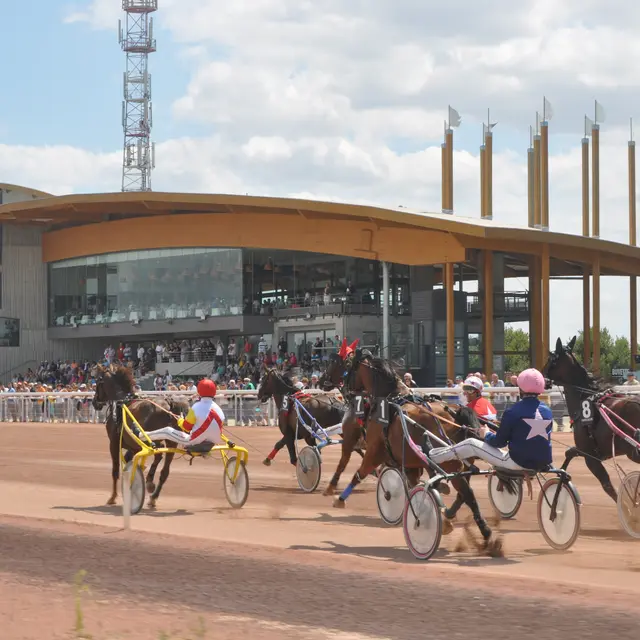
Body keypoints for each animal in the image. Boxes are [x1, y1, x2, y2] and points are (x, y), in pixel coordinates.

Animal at [91, 364, 189, 510]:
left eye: (97, 382)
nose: (94, 402)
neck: (122, 402)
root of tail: (168, 402)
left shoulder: (114, 443)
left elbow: (115, 470)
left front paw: (113, 497)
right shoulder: (133, 446)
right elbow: (127, 463)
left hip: (153, 439)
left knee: (158, 454)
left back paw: (149, 481)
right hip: (171, 442)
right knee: (165, 471)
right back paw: (153, 497)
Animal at [330, 348, 500, 548]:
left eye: (347, 368)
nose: (346, 392)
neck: (389, 401)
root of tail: (455, 412)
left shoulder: (374, 451)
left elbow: (360, 473)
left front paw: (340, 499)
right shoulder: (412, 462)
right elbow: (411, 484)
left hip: (450, 463)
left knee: (468, 494)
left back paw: (484, 531)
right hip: (462, 463)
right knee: (463, 494)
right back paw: (455, 519)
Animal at [544, 338, 640, 502]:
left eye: (551, 359)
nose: (540, 377)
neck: (586, 396)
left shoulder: (590, 457)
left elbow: (608, 487)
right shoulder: (591, 452)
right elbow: (569, 453)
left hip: (633, 452)